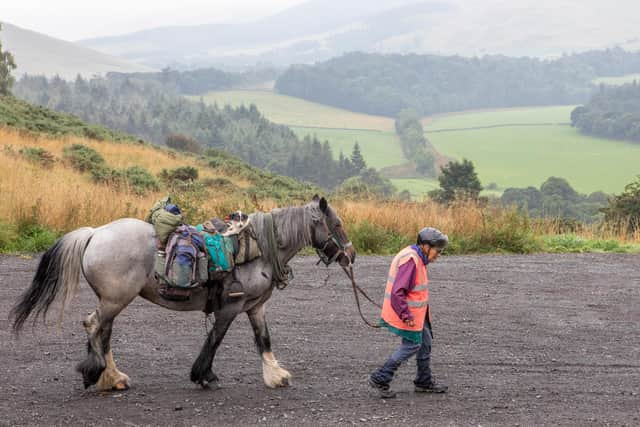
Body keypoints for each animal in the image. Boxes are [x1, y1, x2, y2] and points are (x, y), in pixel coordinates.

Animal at [10, 197, 356, 392]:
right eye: (337, 224)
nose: (351, 255)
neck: (257, 249)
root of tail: (95, 233)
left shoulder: (255, 307)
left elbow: (263, 339)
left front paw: (275, 375)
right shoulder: (230, 307)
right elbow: (214, 339)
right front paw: (204, 376)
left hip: (112, 300)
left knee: (101, 331)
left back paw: (112, 377)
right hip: (115, 299)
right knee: (94, 326)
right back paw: (97, 373)